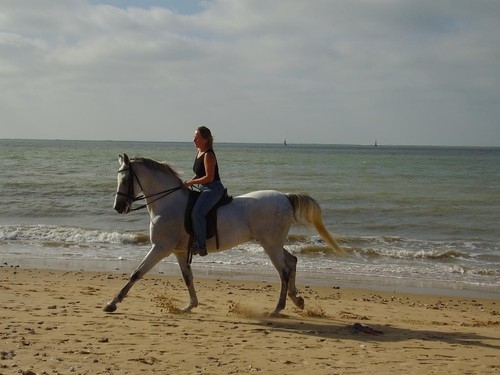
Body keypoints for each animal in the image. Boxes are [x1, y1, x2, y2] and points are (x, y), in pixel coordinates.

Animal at [103, 154, 346, 316]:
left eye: (125, 179)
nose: (118, 207)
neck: (168, 203)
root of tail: (285, 197)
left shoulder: (161, 248)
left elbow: (136, 273)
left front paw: (112, 303)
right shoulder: (179, 251)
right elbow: (187, 277)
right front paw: (190, 305)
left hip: (270, 244)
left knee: (284, 270)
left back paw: (278, 308)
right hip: (273, 243)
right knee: (292, 261)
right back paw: (297, 300)